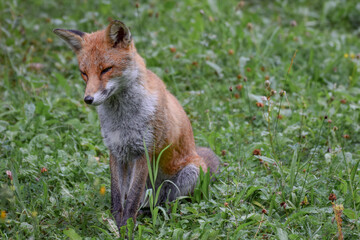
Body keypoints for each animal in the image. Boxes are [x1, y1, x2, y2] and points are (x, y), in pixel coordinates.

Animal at [53, 20, 219, 227]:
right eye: (84, 73)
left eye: (106, 69)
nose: (88, 99)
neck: (123, 119)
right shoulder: (116, 150)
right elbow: (118, 196)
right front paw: (115, 223)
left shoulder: (143, 151)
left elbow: (131, 198)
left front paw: (126, 226)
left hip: (188, 174)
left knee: (165, 203)